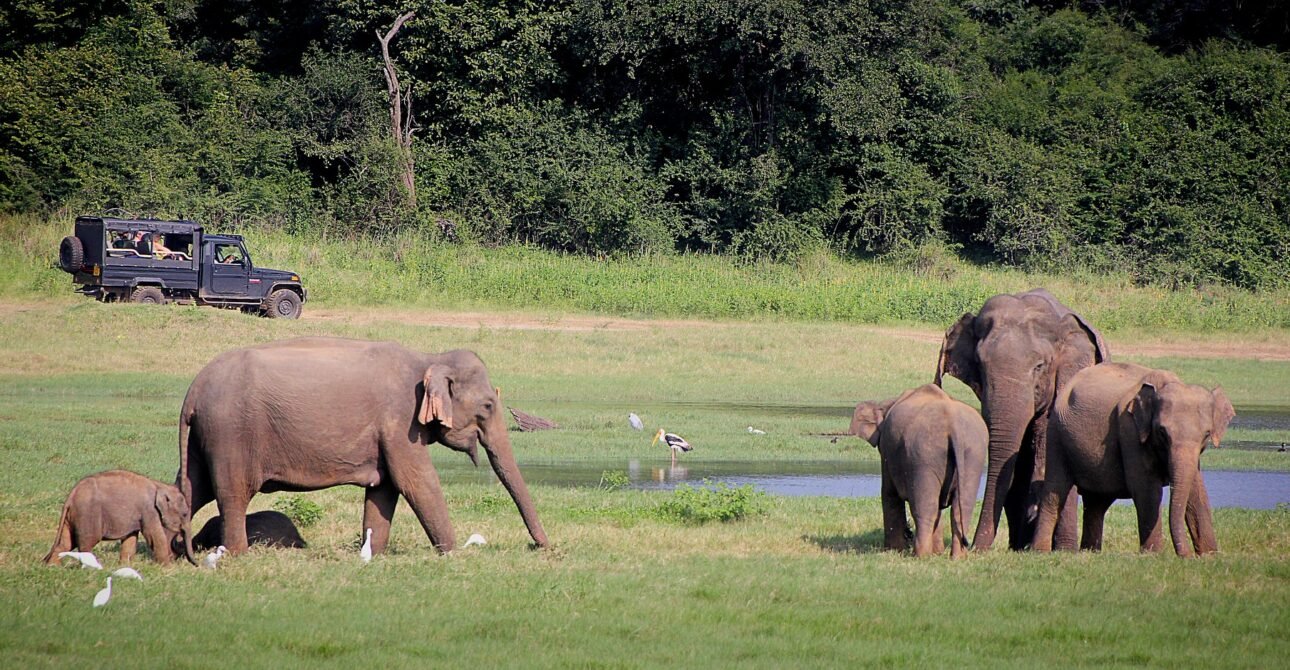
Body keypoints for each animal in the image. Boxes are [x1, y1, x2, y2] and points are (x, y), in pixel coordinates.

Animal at [43, 472, 194, 565]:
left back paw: (53, 567)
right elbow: (155, 536)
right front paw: (167, 568)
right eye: (185, 514)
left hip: (72, 518)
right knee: (86, 543)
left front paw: (125, 565)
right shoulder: (149, 511)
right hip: (88, 516)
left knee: (65, 543)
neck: (160, 485)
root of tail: (71, 495)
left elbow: (130, 538)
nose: (196, 565)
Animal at [178, 338, 549, 557]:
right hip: (231, 434)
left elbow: (385, 489)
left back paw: (176, 552)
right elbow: (416, 481)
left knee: (191, 488)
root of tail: (193, 391)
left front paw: (375, 554)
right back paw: (237, 555)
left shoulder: (389, 434)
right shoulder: (400, 422)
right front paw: (453, 553)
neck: (429, 358)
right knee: (232, 493)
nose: (540, 546)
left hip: (205, 437)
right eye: (488, 406)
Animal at [856, 384, 985, 557]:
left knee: (925, 508)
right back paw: (958, 558)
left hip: (923, 455)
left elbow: (889, 493)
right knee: (961, 508)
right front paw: (937, 553)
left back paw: (920, 556)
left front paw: (894, 550)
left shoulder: (886, 450)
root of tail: (954, 426)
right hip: (973, 455)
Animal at [1032, 364, 1233, 557]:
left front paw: (1210, 555)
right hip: (1056, 435)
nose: (1186, 556)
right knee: (1055, 492)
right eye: (1162, 432)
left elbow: (1197, 492)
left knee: (1097, 502)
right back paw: (1041, 551)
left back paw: (1090, 552)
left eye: (1206, 434)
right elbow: (1146, 489)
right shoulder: (1130, 431)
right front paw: (1153, 555)